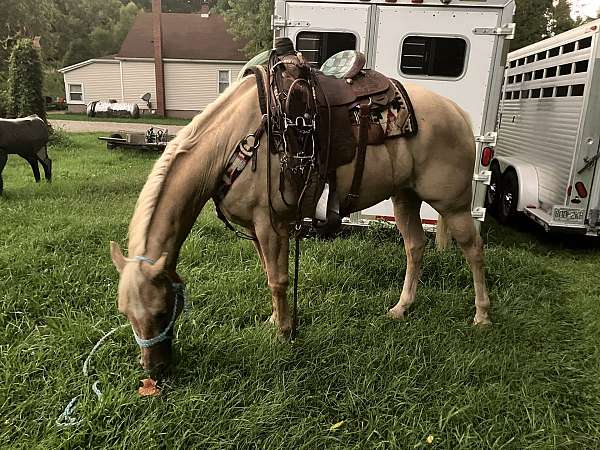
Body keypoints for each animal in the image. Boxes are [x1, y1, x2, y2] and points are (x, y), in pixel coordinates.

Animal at [111, 74, 492, 376]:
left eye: (163, 311)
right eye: (125, 313)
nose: (155, 370)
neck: (233, 142)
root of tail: (458, 114)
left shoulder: (270, 224)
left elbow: (278, 280)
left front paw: (283, 333)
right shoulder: (257, 231)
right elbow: (269, 275)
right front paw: (275, 321)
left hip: (453, 205)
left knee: (474, 250)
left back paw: (482, 316)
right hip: (405, 197)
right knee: (415, 246)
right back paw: (402, 308)